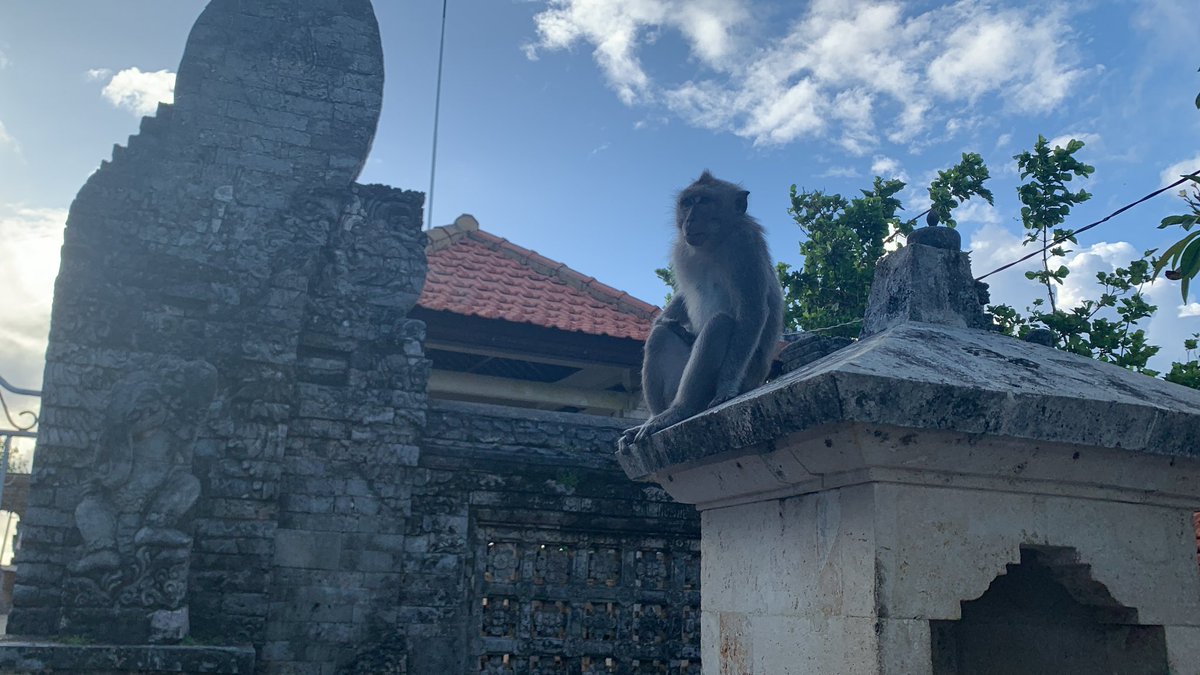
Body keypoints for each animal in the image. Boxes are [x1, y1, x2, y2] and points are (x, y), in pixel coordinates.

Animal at [621, 171, 784, 448]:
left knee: (720, 324)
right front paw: (662, 320)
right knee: (661, 336)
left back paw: (680, 409)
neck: (714, 242)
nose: (690, 219)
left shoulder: (745, 246)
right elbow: (679, 304)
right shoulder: (683, 249)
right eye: (687, 202)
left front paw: (726, 388)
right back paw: (654, 417)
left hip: (745, 375)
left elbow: (752, 312)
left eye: (705, 201)